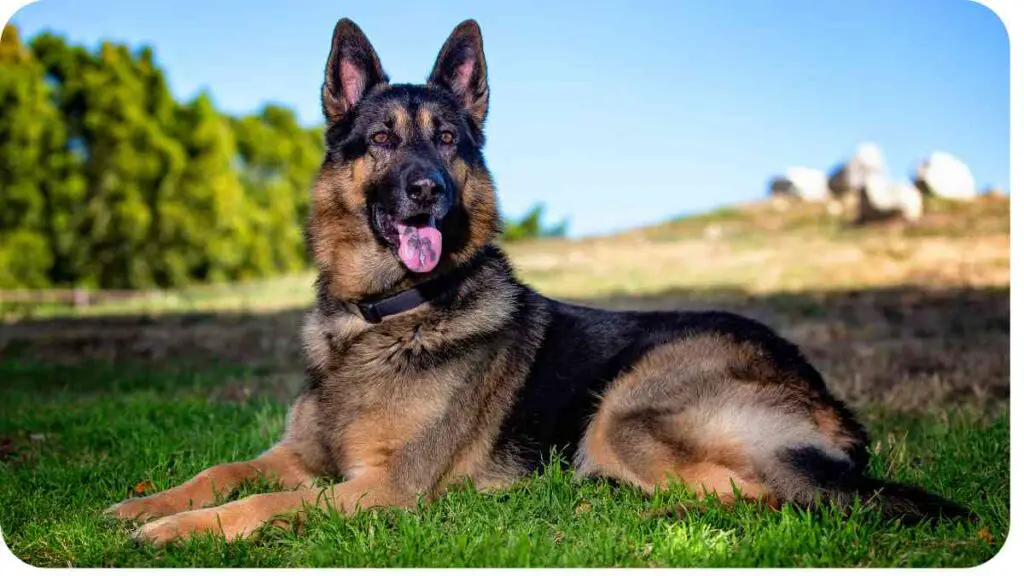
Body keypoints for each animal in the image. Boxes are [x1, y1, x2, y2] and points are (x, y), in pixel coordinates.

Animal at [108, 16, 970, 541]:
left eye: (447, 139)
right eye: (382, 139)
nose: (428, 192)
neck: (383, 316)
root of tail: (829, 400)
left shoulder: (382, 489)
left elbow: (265, 500)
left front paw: (173, 532)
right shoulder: (301, 455)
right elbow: (223, 470)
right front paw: (141, 503)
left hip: (626, 413)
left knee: (759, 497)